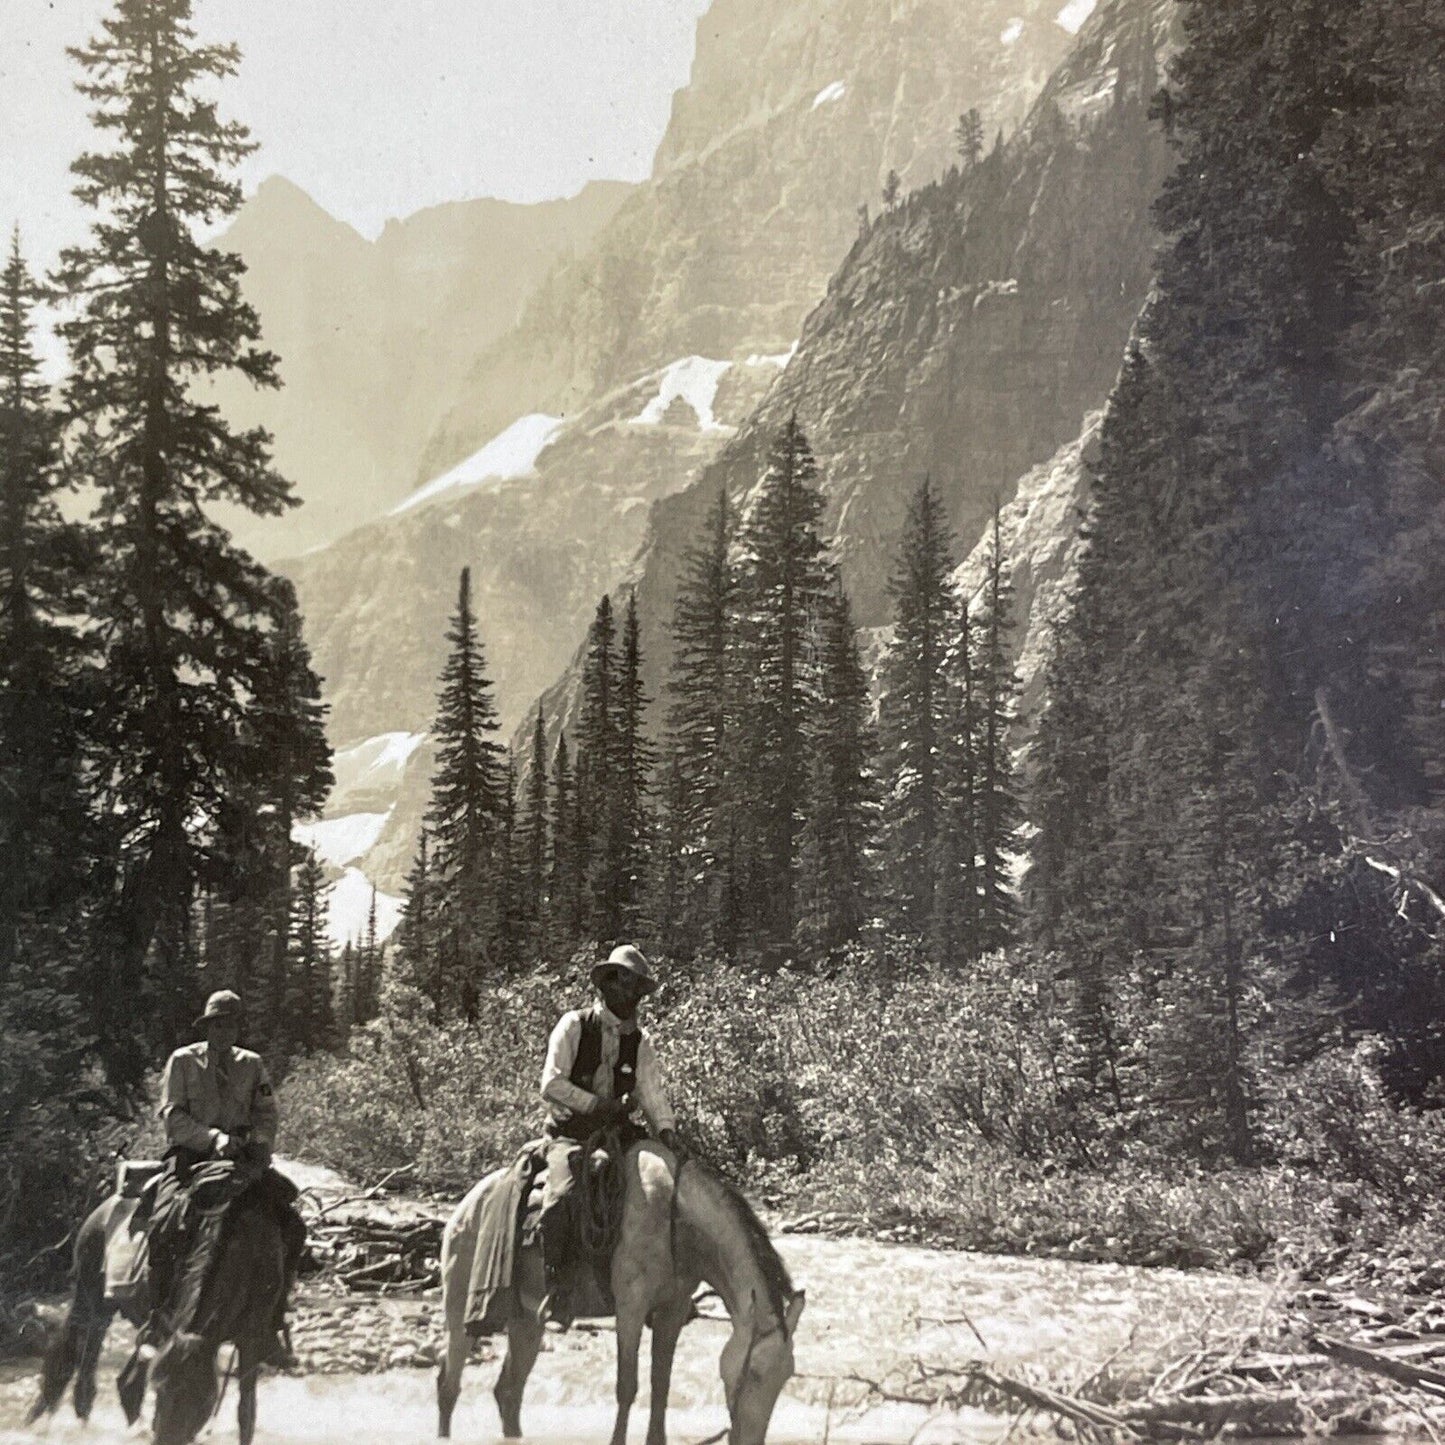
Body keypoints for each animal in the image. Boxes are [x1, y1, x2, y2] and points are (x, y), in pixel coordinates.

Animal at [29, 1184, 287, 1445]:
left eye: (203, 1398)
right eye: (160, 1390)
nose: (166, 1438)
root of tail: (101, 1210)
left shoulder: (250, 1341)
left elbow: (246, 1412)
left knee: (124, 1382)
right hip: (93, 1300)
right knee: (84, 1357)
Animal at [433, 1138, 809, 1445]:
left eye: (786, 1375)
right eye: (755, 1373)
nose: (751, 1440)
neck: (674, 1222)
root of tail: (465, 1207)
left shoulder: (672, 1311)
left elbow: (661, 1384)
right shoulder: (630, 1308)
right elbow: (627, 1387)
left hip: (526, 1321)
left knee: (508, 1391)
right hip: (460, 1309)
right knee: (449, 1385)